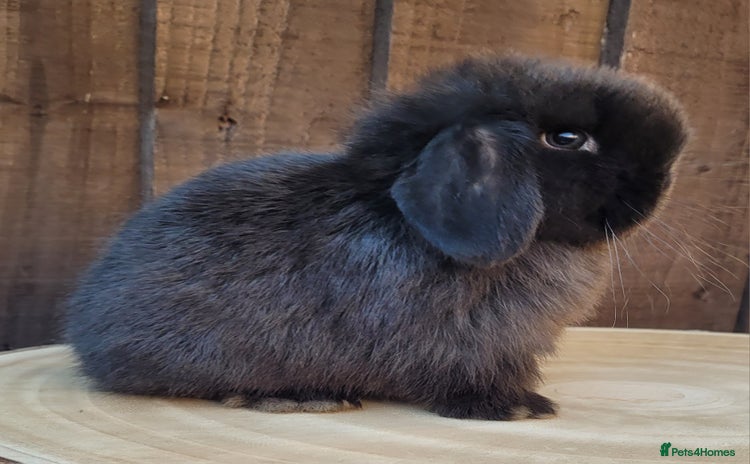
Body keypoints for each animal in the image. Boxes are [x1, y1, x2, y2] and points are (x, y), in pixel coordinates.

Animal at [65, 55, 688, 420]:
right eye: (566, 138)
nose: (664, 178)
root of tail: (85, 328)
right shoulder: (457, 349)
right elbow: (460, 381)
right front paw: (516, 408)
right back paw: (300, 396)